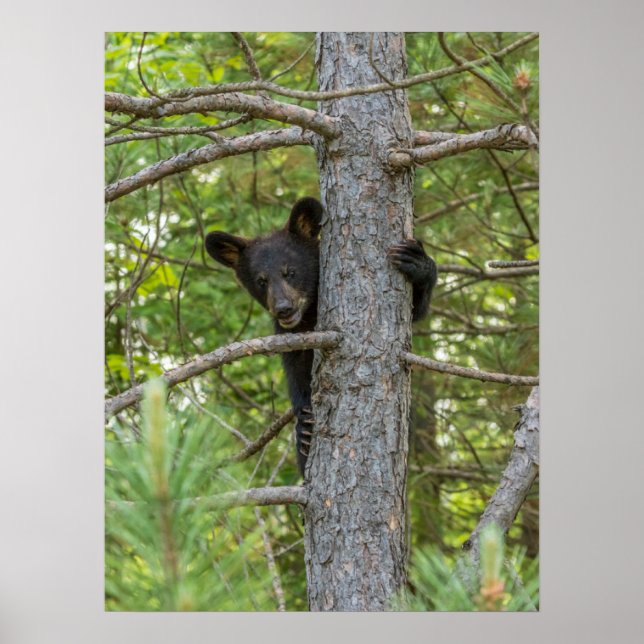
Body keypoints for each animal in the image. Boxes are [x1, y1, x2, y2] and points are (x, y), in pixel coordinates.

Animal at [205, 197, 437, 475]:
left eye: (290, 272)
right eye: (261, 281)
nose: (284, 308)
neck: (309, 313)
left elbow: (415, 310)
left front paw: (417, 262)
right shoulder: (292, 335)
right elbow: (296, 370)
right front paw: (304, 425)